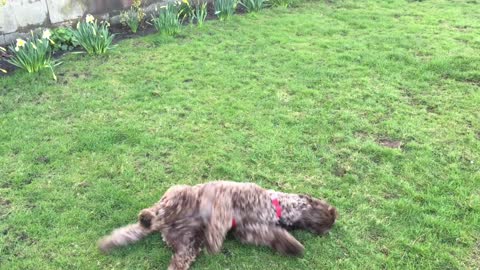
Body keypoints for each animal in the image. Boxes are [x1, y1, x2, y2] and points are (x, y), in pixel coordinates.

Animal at [97, 180, 338, 268]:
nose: (331, 222)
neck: (274, 205)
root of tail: (165, 228)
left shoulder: (249, 231)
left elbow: (273, 236)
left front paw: (292, 246)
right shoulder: (228, 196)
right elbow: (220, 216)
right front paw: (215, 236)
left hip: (189, 246)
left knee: (177, 262)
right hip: (178, 195)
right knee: (157, 212)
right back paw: (147, 216)